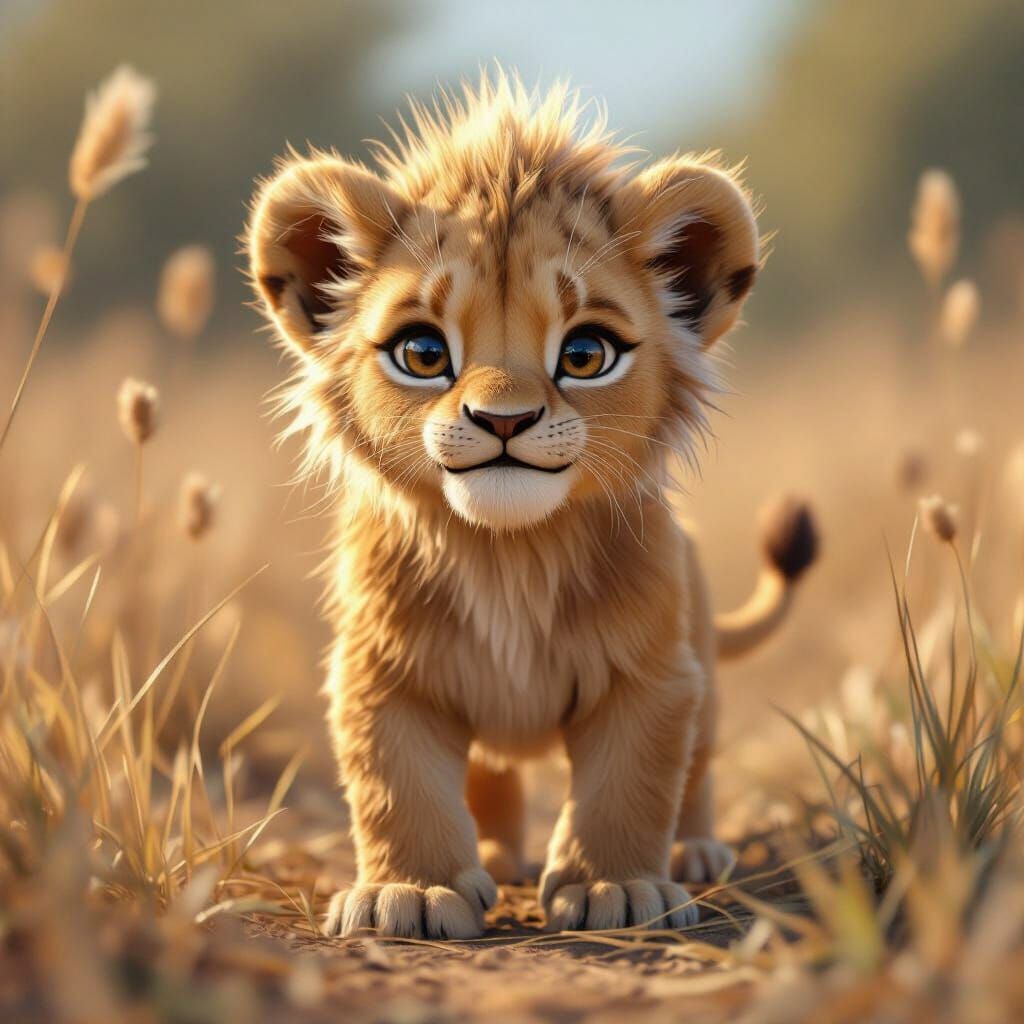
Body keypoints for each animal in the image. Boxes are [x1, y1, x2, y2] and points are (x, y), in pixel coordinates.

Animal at [246, 73, 817, 940]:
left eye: (585, 355)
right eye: (423, 353)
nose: (504, 420)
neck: (508, 555)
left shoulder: (653, 674)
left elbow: (629, 785)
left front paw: (618, 888)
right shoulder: (383, 674)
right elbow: (398, 786)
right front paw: (412, 893)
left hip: (705, 674)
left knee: (697, 772)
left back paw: (692, 853)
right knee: (490, 777)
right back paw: (497, 858)